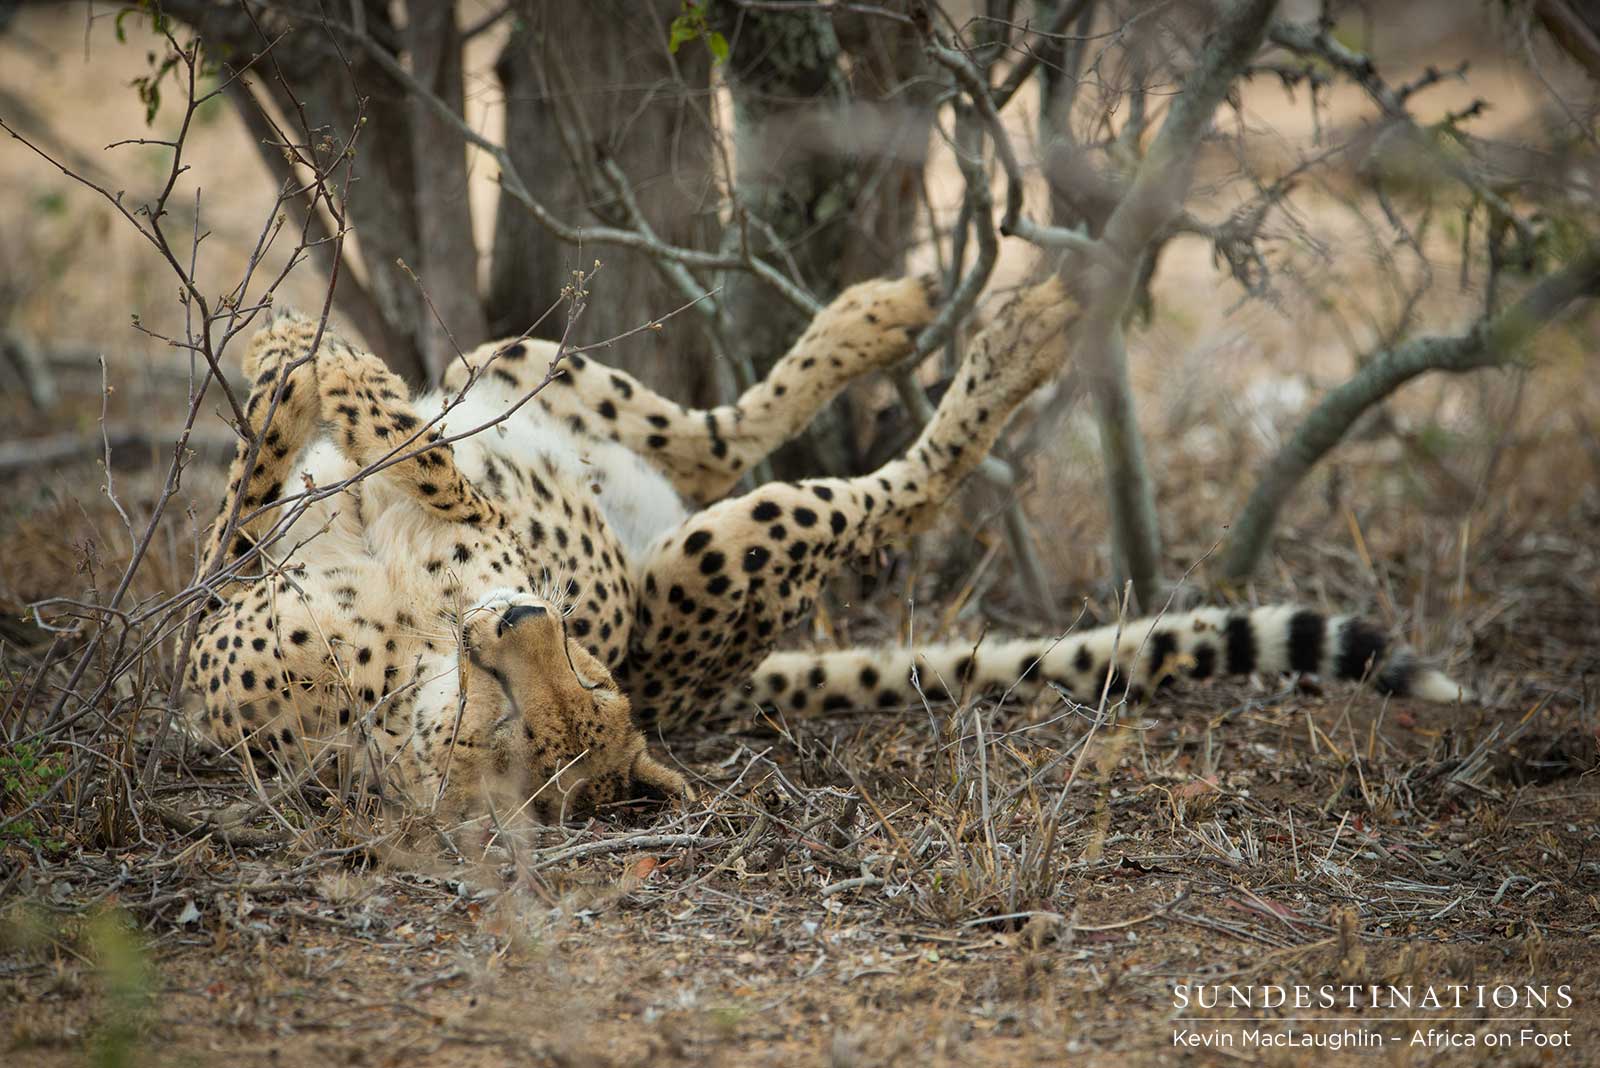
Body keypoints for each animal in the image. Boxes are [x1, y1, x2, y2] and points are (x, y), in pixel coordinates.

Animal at [190, 278, 1472, 824]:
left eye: (589, 687)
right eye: (526, 716)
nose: (526, 619)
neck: (392, 688)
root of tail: (705, 679)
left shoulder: (471, 532)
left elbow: (386, 451)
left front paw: (306, 357)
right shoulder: (213, 629)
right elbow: (256, 503)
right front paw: (298, 361)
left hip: (641, 462)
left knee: (816, 471)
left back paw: (965, 329)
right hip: (581, 432)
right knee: (713, 446)